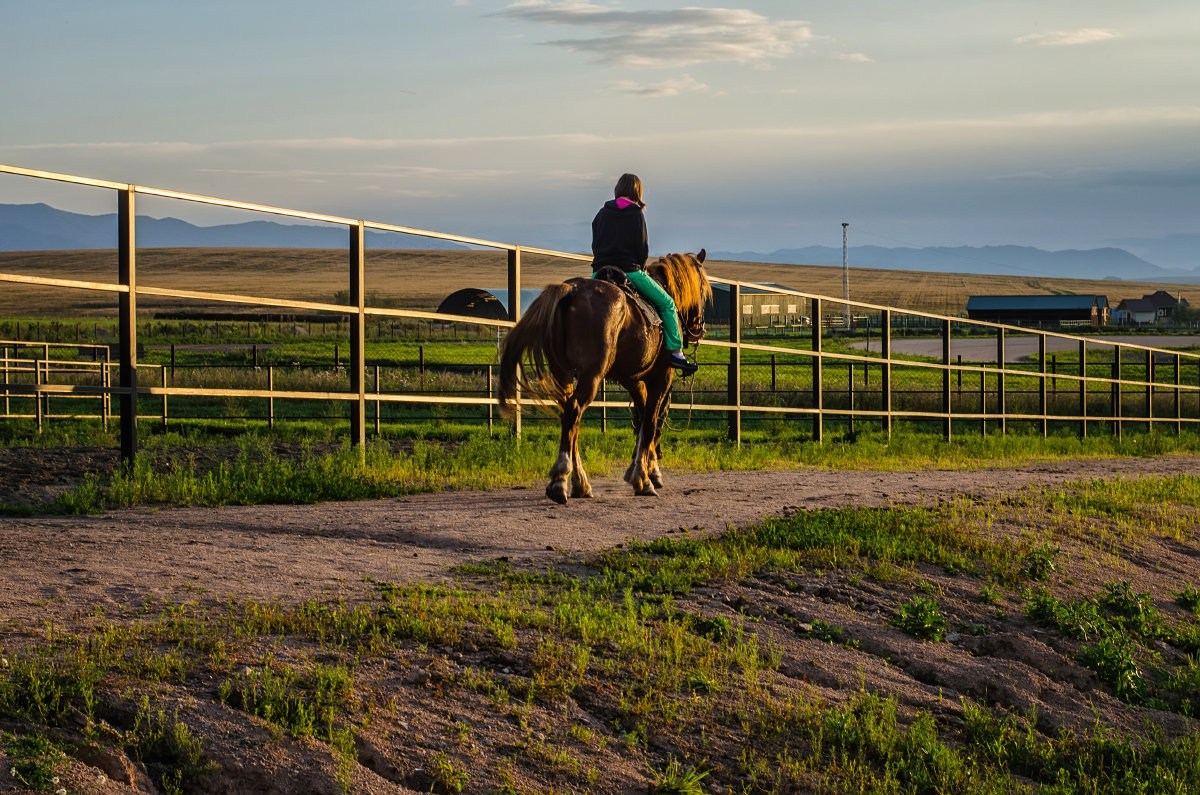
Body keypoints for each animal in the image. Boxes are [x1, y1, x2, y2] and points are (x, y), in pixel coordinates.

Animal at [499, 252, 710, 504]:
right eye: (703, 290)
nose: (700, 327)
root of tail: (572, 289)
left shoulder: (633, 380)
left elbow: (642, 421)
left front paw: (645, 470)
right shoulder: (661, 377)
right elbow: (651, 423)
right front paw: (643, 478)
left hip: (563, 373)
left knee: (569, 416)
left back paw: (580, 483)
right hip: (591, 375)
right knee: (575, 410)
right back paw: (560, 480)